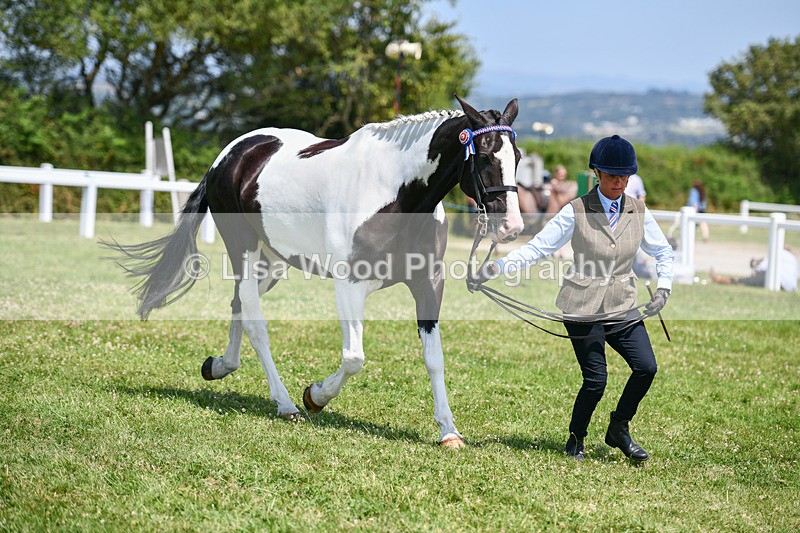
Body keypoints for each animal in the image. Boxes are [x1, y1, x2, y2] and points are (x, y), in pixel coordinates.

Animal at [106, 96, 524, 448]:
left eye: (517, 156)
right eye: (486, 157)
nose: (511, 227)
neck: (395, 193)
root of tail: (230, 155)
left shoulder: (428, 284)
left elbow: (434, 358)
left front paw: (448, 432)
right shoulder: (350, 285)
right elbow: (354, 357)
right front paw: (315, 396)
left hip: (272, 262)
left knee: (238, 304)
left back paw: (221, 366)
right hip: (243, 250)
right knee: (255, 320)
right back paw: (286, 403)